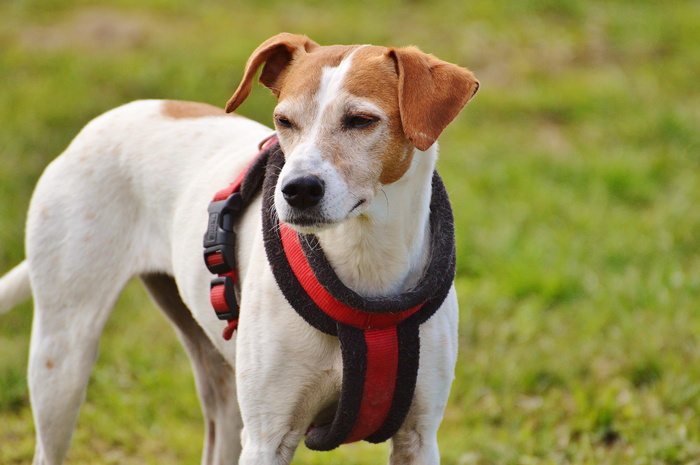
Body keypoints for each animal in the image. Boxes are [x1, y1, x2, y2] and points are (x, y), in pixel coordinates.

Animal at [0, 33, 476, 464]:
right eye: (284, 121)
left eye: (361, 120)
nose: (297, 189)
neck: (365, 267)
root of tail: (97, 125)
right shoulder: (268, 438)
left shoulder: (418, 437)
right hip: (62, 361)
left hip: (219, 384)